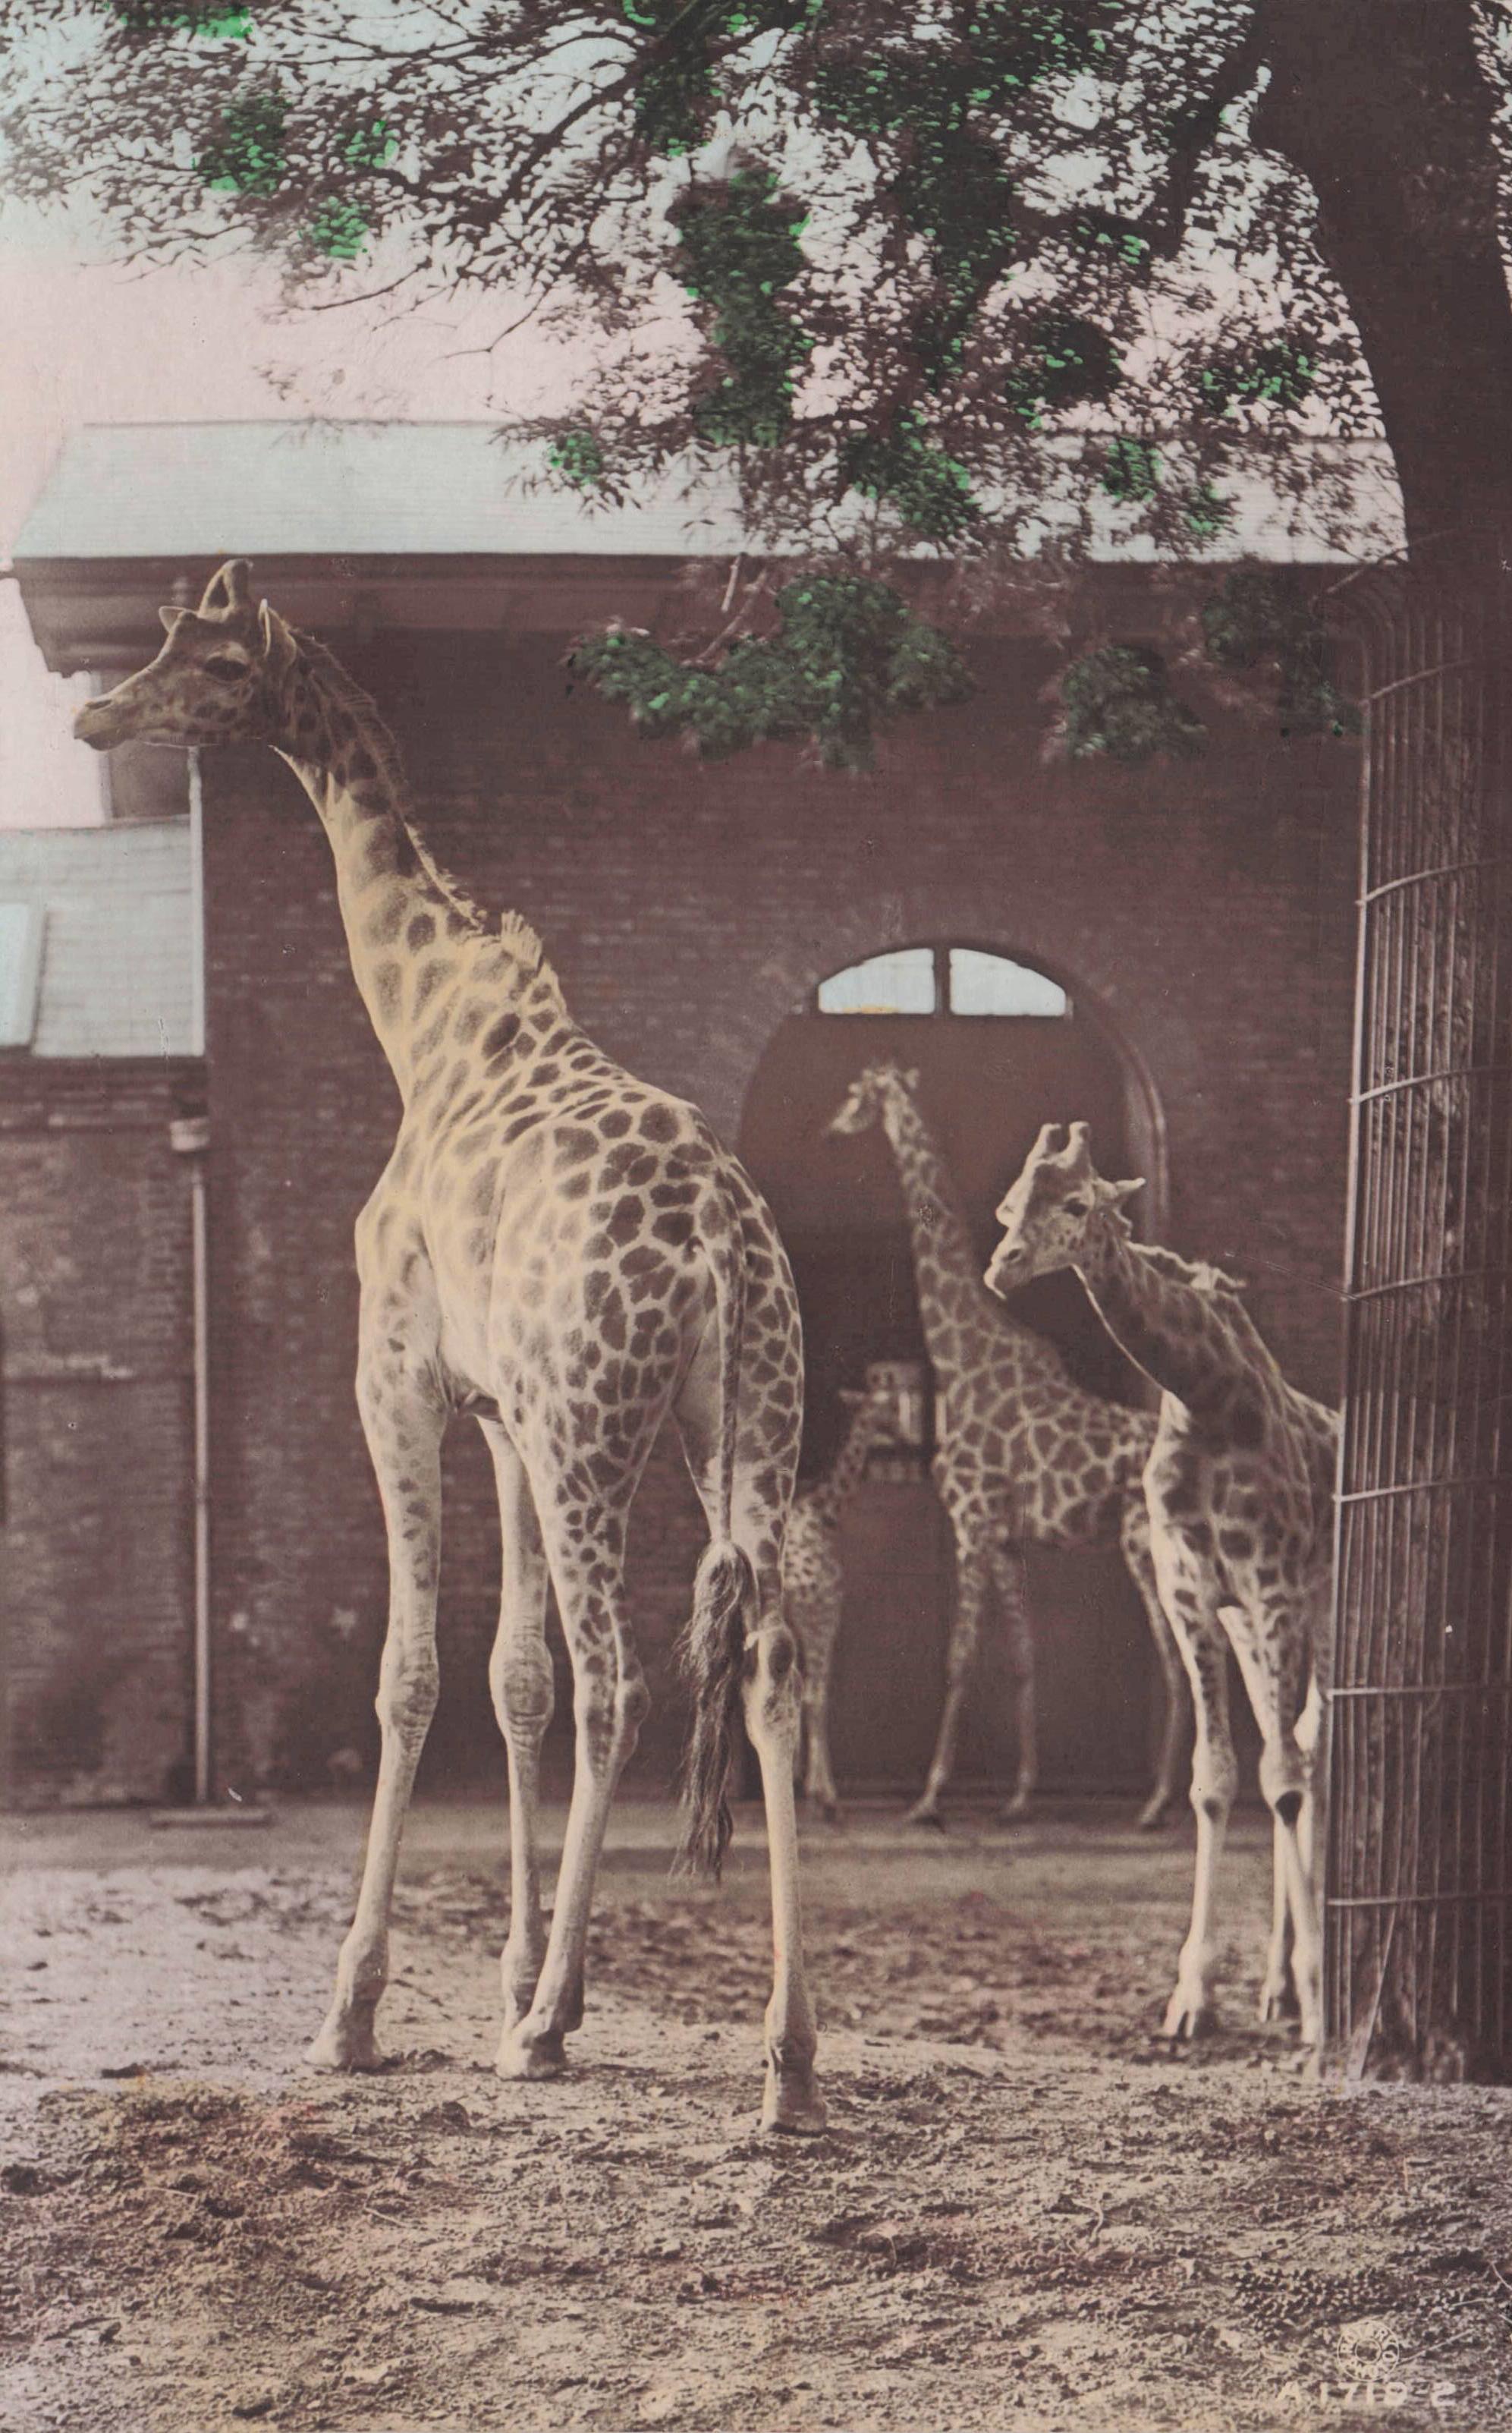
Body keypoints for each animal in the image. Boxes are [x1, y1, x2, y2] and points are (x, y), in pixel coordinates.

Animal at [73, 560, 824, 2134]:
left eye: (215, 661)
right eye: (161, 636)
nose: (99, 711)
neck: (425, 1031)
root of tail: (726, 1246)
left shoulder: (397, 1376)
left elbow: (412, 1671)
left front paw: (357, 2011)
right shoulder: (500, 1415)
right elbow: (509, 1676)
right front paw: (517, 1971)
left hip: (602, 1428)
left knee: (621, 1683)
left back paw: (546, 2031)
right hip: (738, 1422)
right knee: (769, 1670)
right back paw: (785, 2066)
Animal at [783, 1374, 904, 1822]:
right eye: (889, 1406)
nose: (902, 1434)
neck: (824, 1512)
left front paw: (800, 1776)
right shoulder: (829, 1615)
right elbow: (819, 1696)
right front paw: (818, 1789)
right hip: (818, 1619)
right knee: (815, 1694)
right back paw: (828, 1797)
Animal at [827, 1063, 1190, 1829]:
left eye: (855, 1095)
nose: (829, 1127)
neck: (960, 1352)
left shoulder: (970, 1520)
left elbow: (958, 1658)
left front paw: (929, 1797)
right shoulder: (1006, 1537)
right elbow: (1022, 1657)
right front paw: (1019, 1796)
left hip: (1143, 1543)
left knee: (1180, 1657)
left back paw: (1156, 1805)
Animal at [986, 1121, 1338, 2047]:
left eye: (1076, 1203)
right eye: (1008, 1203)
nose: (1002, 1265)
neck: (1205, 1394)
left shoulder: (1274, 1589)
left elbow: (1278, 1781)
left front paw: (1320, 2001)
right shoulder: (1198, 1600)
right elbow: (1215, 1780)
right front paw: (1195, 1997)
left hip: (1321, 1615)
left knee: (1309, 1757)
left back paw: (1308, 1985)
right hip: (1259, 1632)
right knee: (1300, 1746)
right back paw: (1276, 1986)